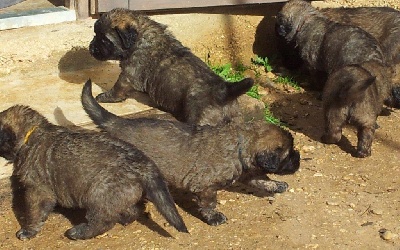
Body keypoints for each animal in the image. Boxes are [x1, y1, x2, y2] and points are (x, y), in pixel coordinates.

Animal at [0, 104, 188, 239]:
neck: (31, 134)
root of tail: (143, 163)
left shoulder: (37, 189)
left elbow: (34, 212)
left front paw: (27, 231)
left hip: (97, 194)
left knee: (102, 221)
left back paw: (78, 232)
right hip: (121, 194)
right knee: (134, 209)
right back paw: (124, 218)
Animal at [80, 80, 300, 227]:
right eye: (288, 155)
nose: (298, 159)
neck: (239, 144)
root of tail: (118, 123)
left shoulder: (248, 172)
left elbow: (261, 179)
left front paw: (276, 184)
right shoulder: (206, 186)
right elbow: (209, 203)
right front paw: (214, 217)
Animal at [90, 8, 253, 126]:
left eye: (104, 40)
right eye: (95, 34)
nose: (91, 48)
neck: (139, 37)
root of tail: (225, 91)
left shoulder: (129, 75)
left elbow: (118, 88)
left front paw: (105, 97)